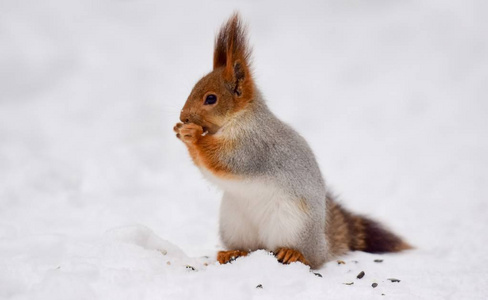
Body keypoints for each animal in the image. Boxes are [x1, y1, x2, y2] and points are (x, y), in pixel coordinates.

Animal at [173, 13, 410, 270]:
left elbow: (225, 161)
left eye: (211, 99)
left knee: (311, 260)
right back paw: (233, 252)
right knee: (249, 247)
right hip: (234, 223)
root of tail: (324, 245)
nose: (183, 117)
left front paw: (192, 135)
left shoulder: (254, 147)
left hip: (295, 225)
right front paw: (181, 131)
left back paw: (293, 254)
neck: (239, 119)